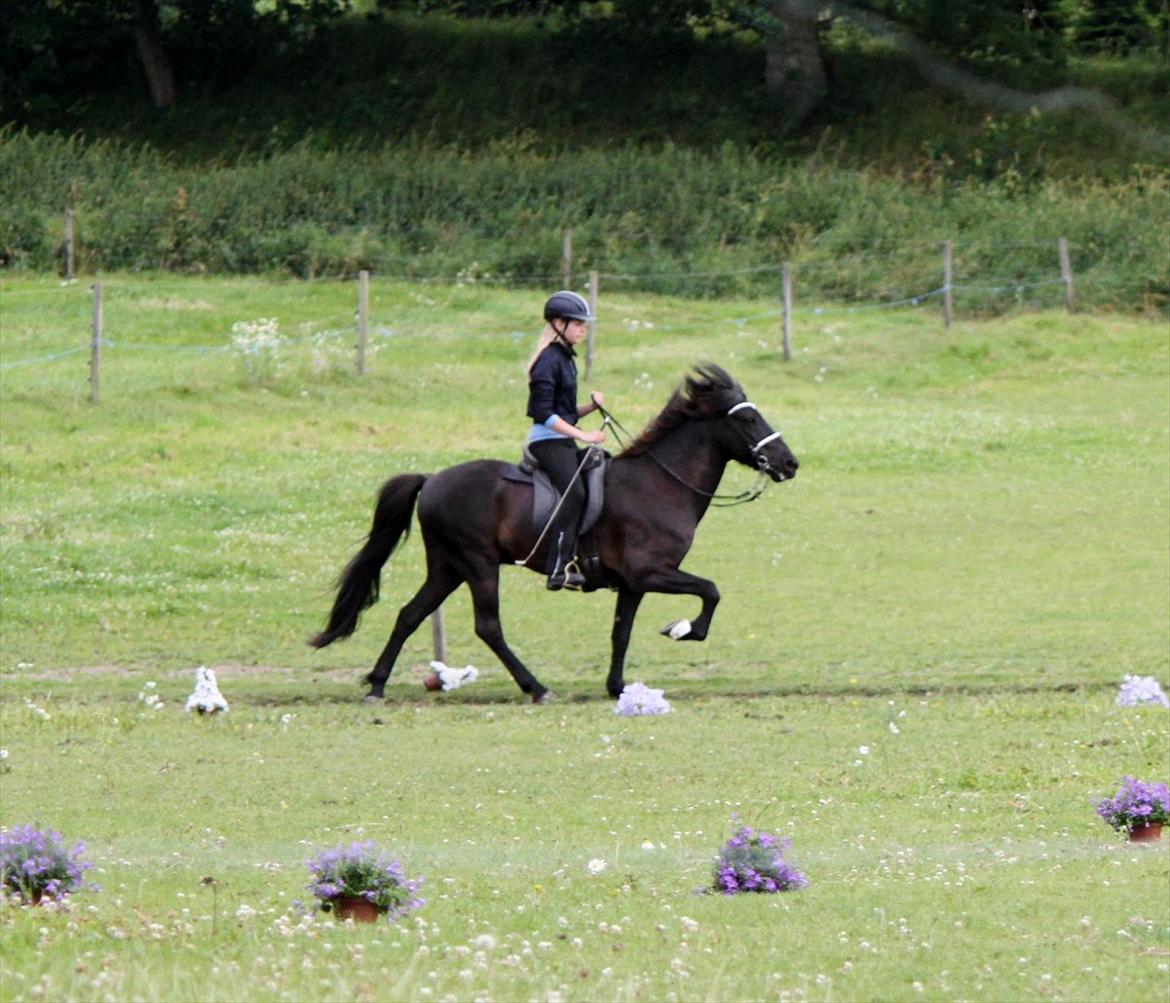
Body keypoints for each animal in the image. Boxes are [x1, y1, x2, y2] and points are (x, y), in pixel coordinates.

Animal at [313, 362, 795, 702]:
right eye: (748, 421)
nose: (790, 463)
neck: (659, 483)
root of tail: (431, 480)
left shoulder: (632, 584)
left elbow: (621, 633)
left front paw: (617, 687)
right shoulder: (651, 573)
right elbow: (711, 591)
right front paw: (681, 629)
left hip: (447, 567)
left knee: (410, 615)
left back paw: (377, 685)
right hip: (477, 564)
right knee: (488, 626)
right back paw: (536, 687)